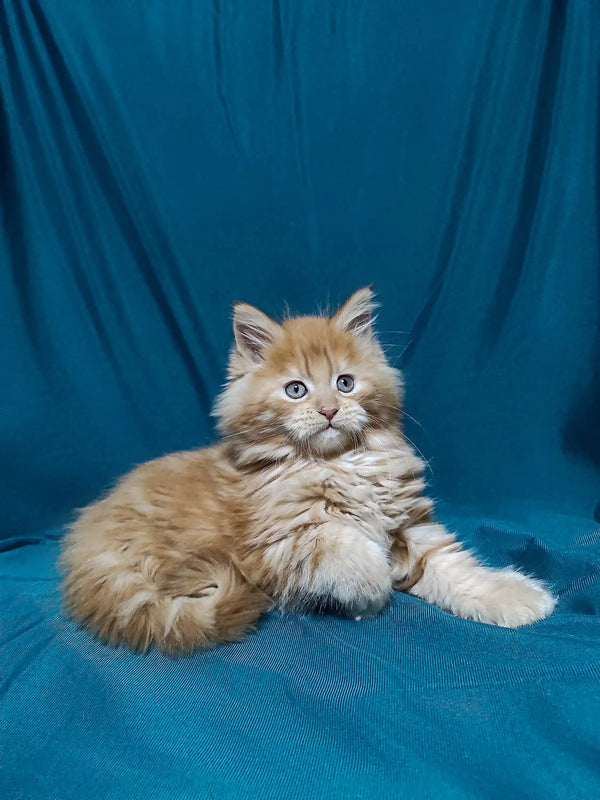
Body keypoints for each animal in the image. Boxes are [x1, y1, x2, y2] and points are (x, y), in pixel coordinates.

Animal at [58, 290, 556, 652]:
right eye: (296, 390)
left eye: (345, 383)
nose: (330, 410)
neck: (343, 464)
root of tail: (84, 548)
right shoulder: (281, 543)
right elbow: (349, 550)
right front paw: (371, 593)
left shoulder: (411, 526)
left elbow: (455, 568)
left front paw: (514, 598)